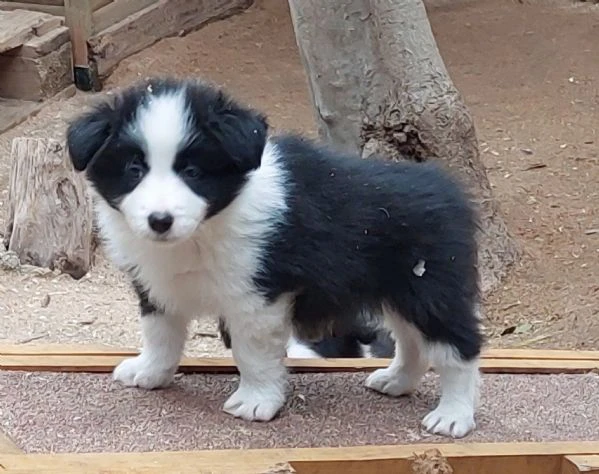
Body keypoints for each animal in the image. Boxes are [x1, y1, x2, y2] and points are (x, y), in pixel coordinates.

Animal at [67, 77, 482, 436]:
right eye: (134, 169)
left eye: (192, 171)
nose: (160, 221)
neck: (203, 231)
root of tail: (447, 189)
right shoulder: (156, 284)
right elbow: (159, 334)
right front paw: (150, 373)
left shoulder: (257, 296)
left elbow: (252, 353)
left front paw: (256, 401)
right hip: (400, 292)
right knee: (411, 342)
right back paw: (396, 381)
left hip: (433, 289)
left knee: (460, 347)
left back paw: (453, 415)